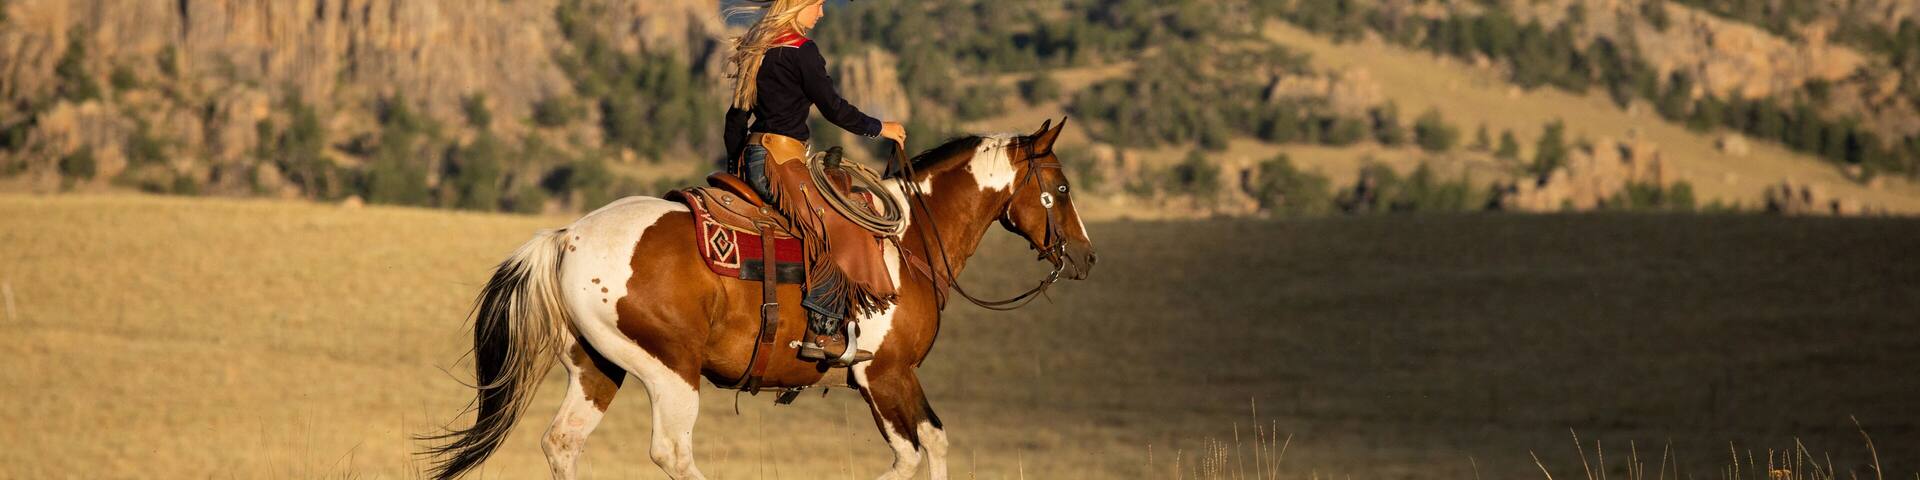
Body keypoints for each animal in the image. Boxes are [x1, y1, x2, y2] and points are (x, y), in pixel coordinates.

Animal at [420, 118, 1096, 480]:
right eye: (1061, 188)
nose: (1086, 257)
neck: (908, 242)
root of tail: (568, 237)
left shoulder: (883, 379)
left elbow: (928, 444)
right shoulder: (885, 375)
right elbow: (915, 452)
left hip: (598, 366)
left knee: (563, 444)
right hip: (670, 370)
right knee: (672, 450)